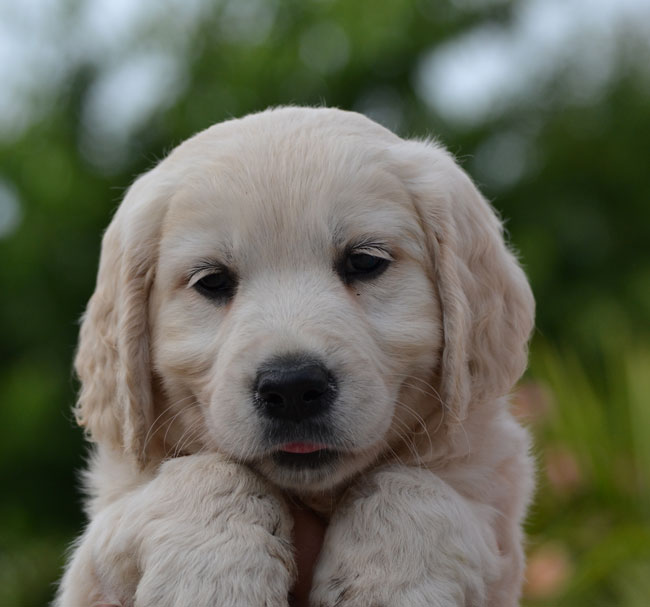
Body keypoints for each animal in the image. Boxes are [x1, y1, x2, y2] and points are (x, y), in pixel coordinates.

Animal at [54, 108, 532, 607]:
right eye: (212, 281)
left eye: (365, 262)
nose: (293, 387)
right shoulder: (103, 540)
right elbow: (205, 474)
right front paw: (211, 580)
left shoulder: (494, 495)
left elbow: (412, 486)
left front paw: (383, 585)